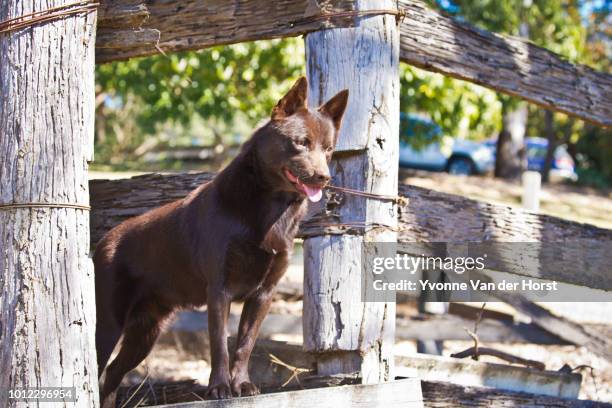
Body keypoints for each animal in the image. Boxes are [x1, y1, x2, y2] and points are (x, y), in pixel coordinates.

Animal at [93, 76, 346, 404]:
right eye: (301, 142)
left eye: (328, 149)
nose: (324, 178)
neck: (270, 207)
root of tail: (104, 241)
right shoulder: (219, 291)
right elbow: (220, 345)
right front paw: (220, 388)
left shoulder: (263, 295)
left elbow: (245, 344)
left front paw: (243, 385)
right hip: (108, 323)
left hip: (145, 333)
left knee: (112, 374)